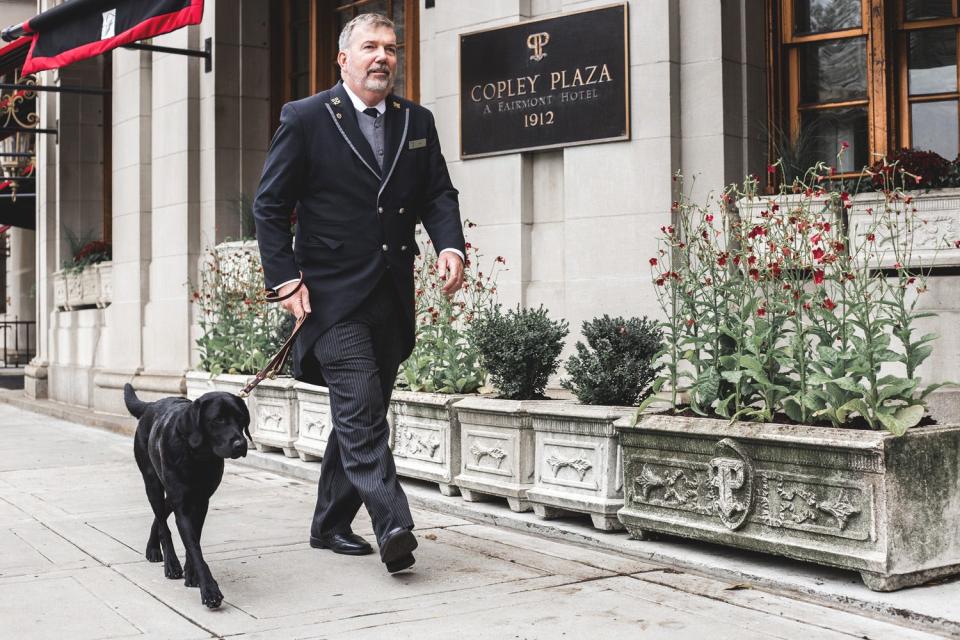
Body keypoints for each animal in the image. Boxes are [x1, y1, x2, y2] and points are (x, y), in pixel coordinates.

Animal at [123, 382, 251, 608]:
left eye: (241, 418)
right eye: (218, 420)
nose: (240, 445)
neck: (198, 457)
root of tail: (151, 404)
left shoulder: (201, 502)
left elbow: (195, 541)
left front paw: (192, 575)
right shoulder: (182, 505)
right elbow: (193, 545)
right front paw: (209, 590)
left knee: (160, 517)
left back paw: (152, 548)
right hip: (152, 483)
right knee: (162, 523)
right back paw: (169, 562)